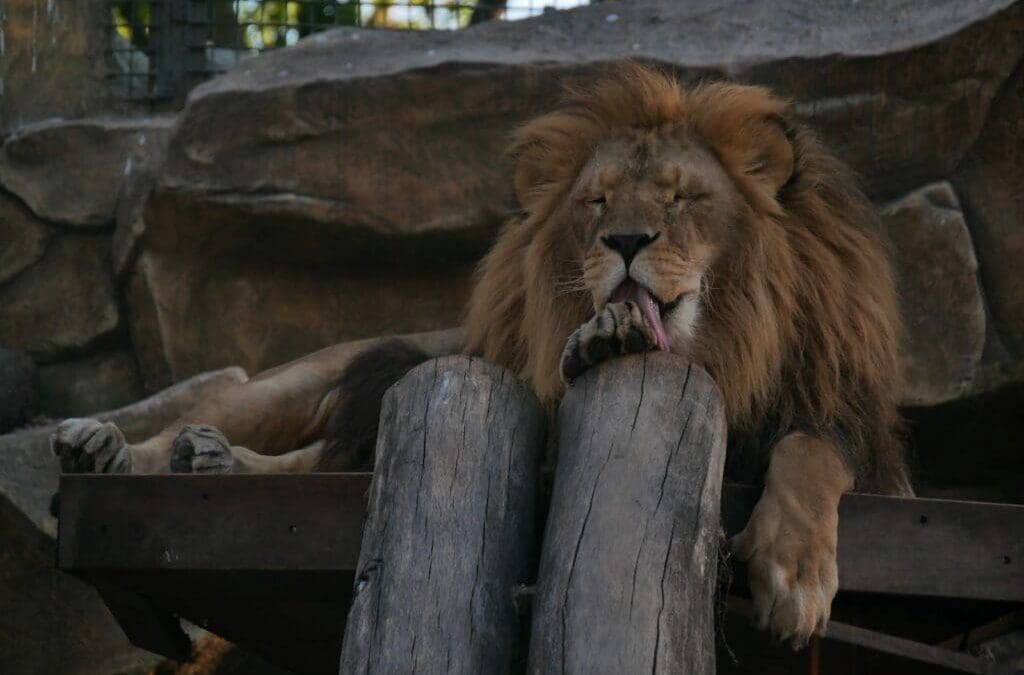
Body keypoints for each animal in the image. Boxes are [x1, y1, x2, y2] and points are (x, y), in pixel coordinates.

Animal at [54, 64, 913, 651]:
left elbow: (811, 453)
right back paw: (109, 446)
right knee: (235, 422)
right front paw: (600, 340)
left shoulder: (859, 440)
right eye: (597, 201)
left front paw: (793, 575)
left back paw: (211, 460)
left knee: (319, 464)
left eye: (681, 198)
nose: (624, 241)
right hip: (309, 374)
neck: (726, 354)